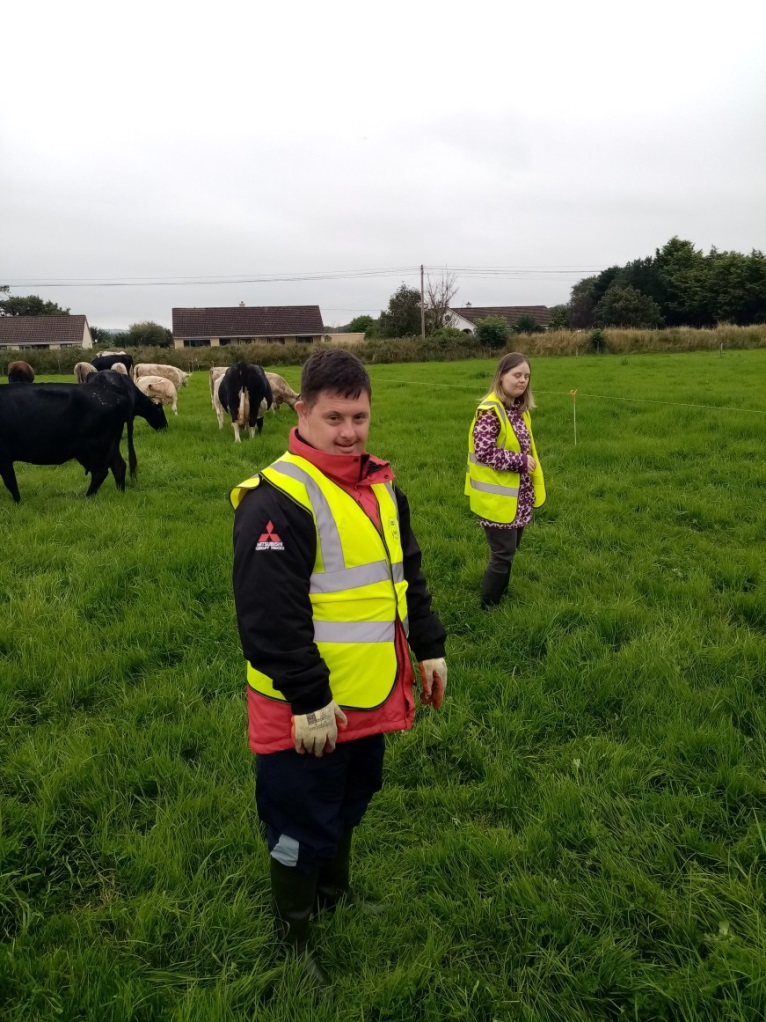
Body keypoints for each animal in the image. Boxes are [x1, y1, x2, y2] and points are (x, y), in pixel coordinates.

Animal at [0, 380, 167, 502]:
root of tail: (116, 395)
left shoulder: (4, 456)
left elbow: (10, 481)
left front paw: (18, 503)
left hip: (94, 448)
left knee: (101, 472)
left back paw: (88, 497)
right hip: (110, 446)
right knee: (119, 466)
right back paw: (120, 492)